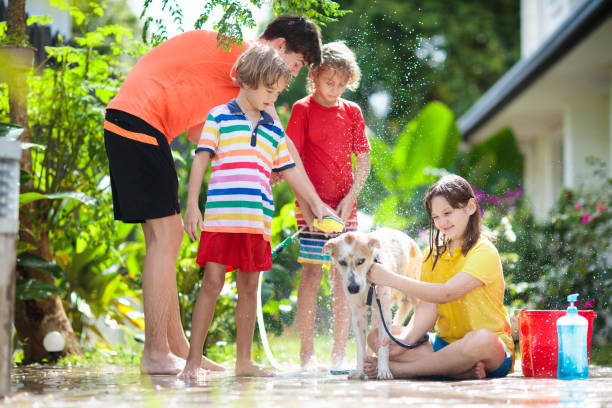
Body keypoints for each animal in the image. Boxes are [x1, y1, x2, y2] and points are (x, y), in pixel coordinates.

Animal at [326, 228, 420, 380]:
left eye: (361, 261)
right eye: (342, 262)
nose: (353, 288)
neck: (368, 283)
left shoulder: (385, 314)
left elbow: (383, 346)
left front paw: (384, 370)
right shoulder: (358, 314)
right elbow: (360, 347)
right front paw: (359, 371)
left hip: (412, 294)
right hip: (376, 313)